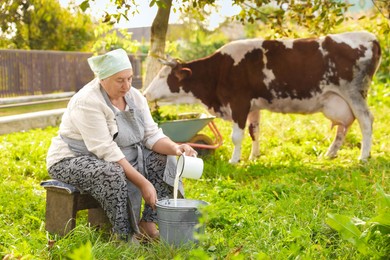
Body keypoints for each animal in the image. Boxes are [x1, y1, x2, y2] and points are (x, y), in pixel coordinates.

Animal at [143, 31, 380, 164]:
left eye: (163, 75)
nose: (145, 93)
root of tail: (370, 37)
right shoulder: (253, 106)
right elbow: (254, 131)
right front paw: (253, 157)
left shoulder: (239, 103)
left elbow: (236, 136)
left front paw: (234, 160)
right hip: (340, 100)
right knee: (344, 125)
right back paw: (330, 154)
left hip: (354, 93)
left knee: (366, 120)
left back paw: (363, 157)